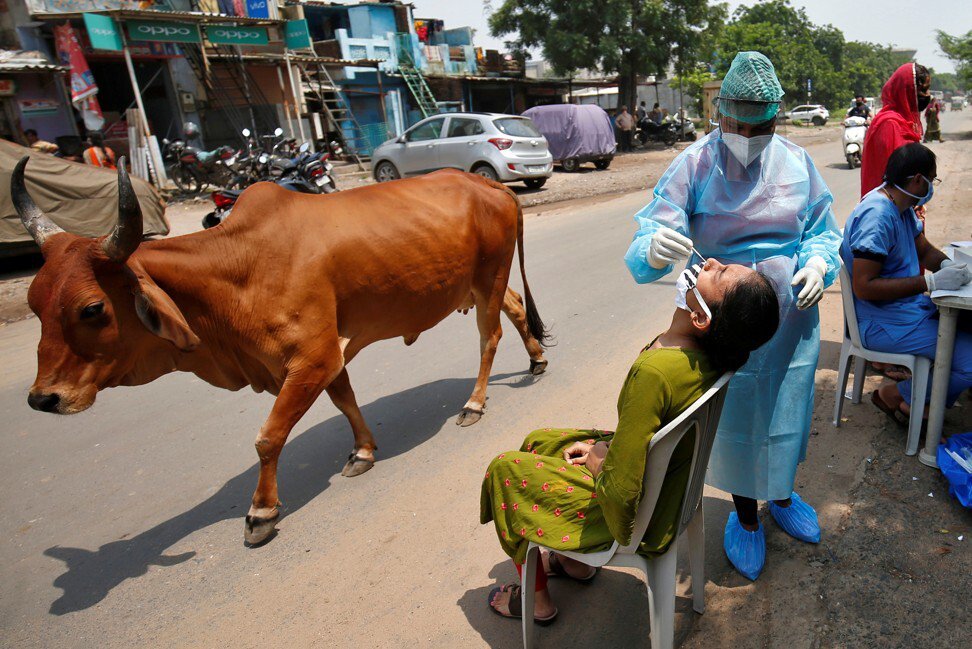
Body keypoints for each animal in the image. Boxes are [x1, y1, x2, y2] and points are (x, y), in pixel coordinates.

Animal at [13, 157, 548, 540]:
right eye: (34, 302)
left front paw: (262, 511)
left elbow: (268, 437)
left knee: (490, 337)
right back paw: (536, 359)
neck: (235, 270)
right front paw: (362, 451)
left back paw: (475, 403)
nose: (44, 398)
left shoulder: (313, 356)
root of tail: (488, 184)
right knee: (516, 308)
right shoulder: (328, 353)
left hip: (488, 277)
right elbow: (345, 400)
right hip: (482, 284)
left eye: (92, 309)